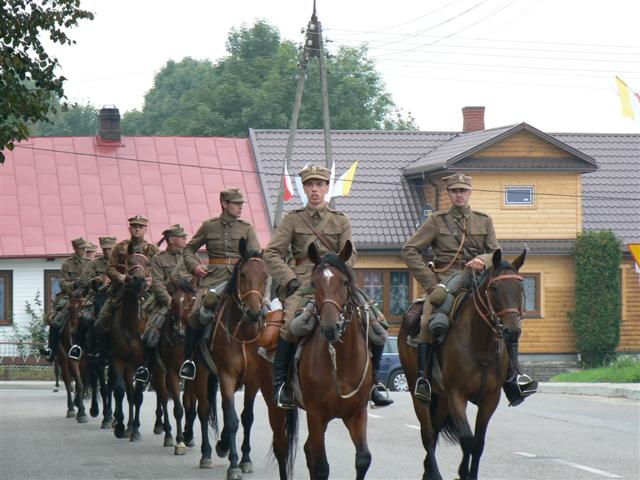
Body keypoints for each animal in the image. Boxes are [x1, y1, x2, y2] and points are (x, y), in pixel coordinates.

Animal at [149, 274, 196, 454]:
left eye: (192, 300)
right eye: (173, 301)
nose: (179, 332)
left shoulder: (192, 375)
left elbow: (189, 405)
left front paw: (189, 436)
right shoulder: (172, 372)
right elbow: (178, 408)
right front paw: (180, 441)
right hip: (158, 370)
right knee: (162, 397)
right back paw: (168, 434)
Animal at [296, 242, 372, 480]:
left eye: (345, 282)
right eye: (314, 283)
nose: (331, 328)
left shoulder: (357, 413)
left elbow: (363, 458)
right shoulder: (315, 414)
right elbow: (321, 466)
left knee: (307, 450)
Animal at [400, 249, 524, 480]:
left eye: (520, 287)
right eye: (495, 288)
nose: (512, 331)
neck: (481, 346)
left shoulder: (490, 399)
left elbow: (478, 443)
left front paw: (468, 473)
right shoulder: (457, 395)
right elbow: (467, 439)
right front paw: (462, 472)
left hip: (442, 398)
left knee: (436, 428)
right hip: (419, 393)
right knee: (427, 433)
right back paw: (434, 474)